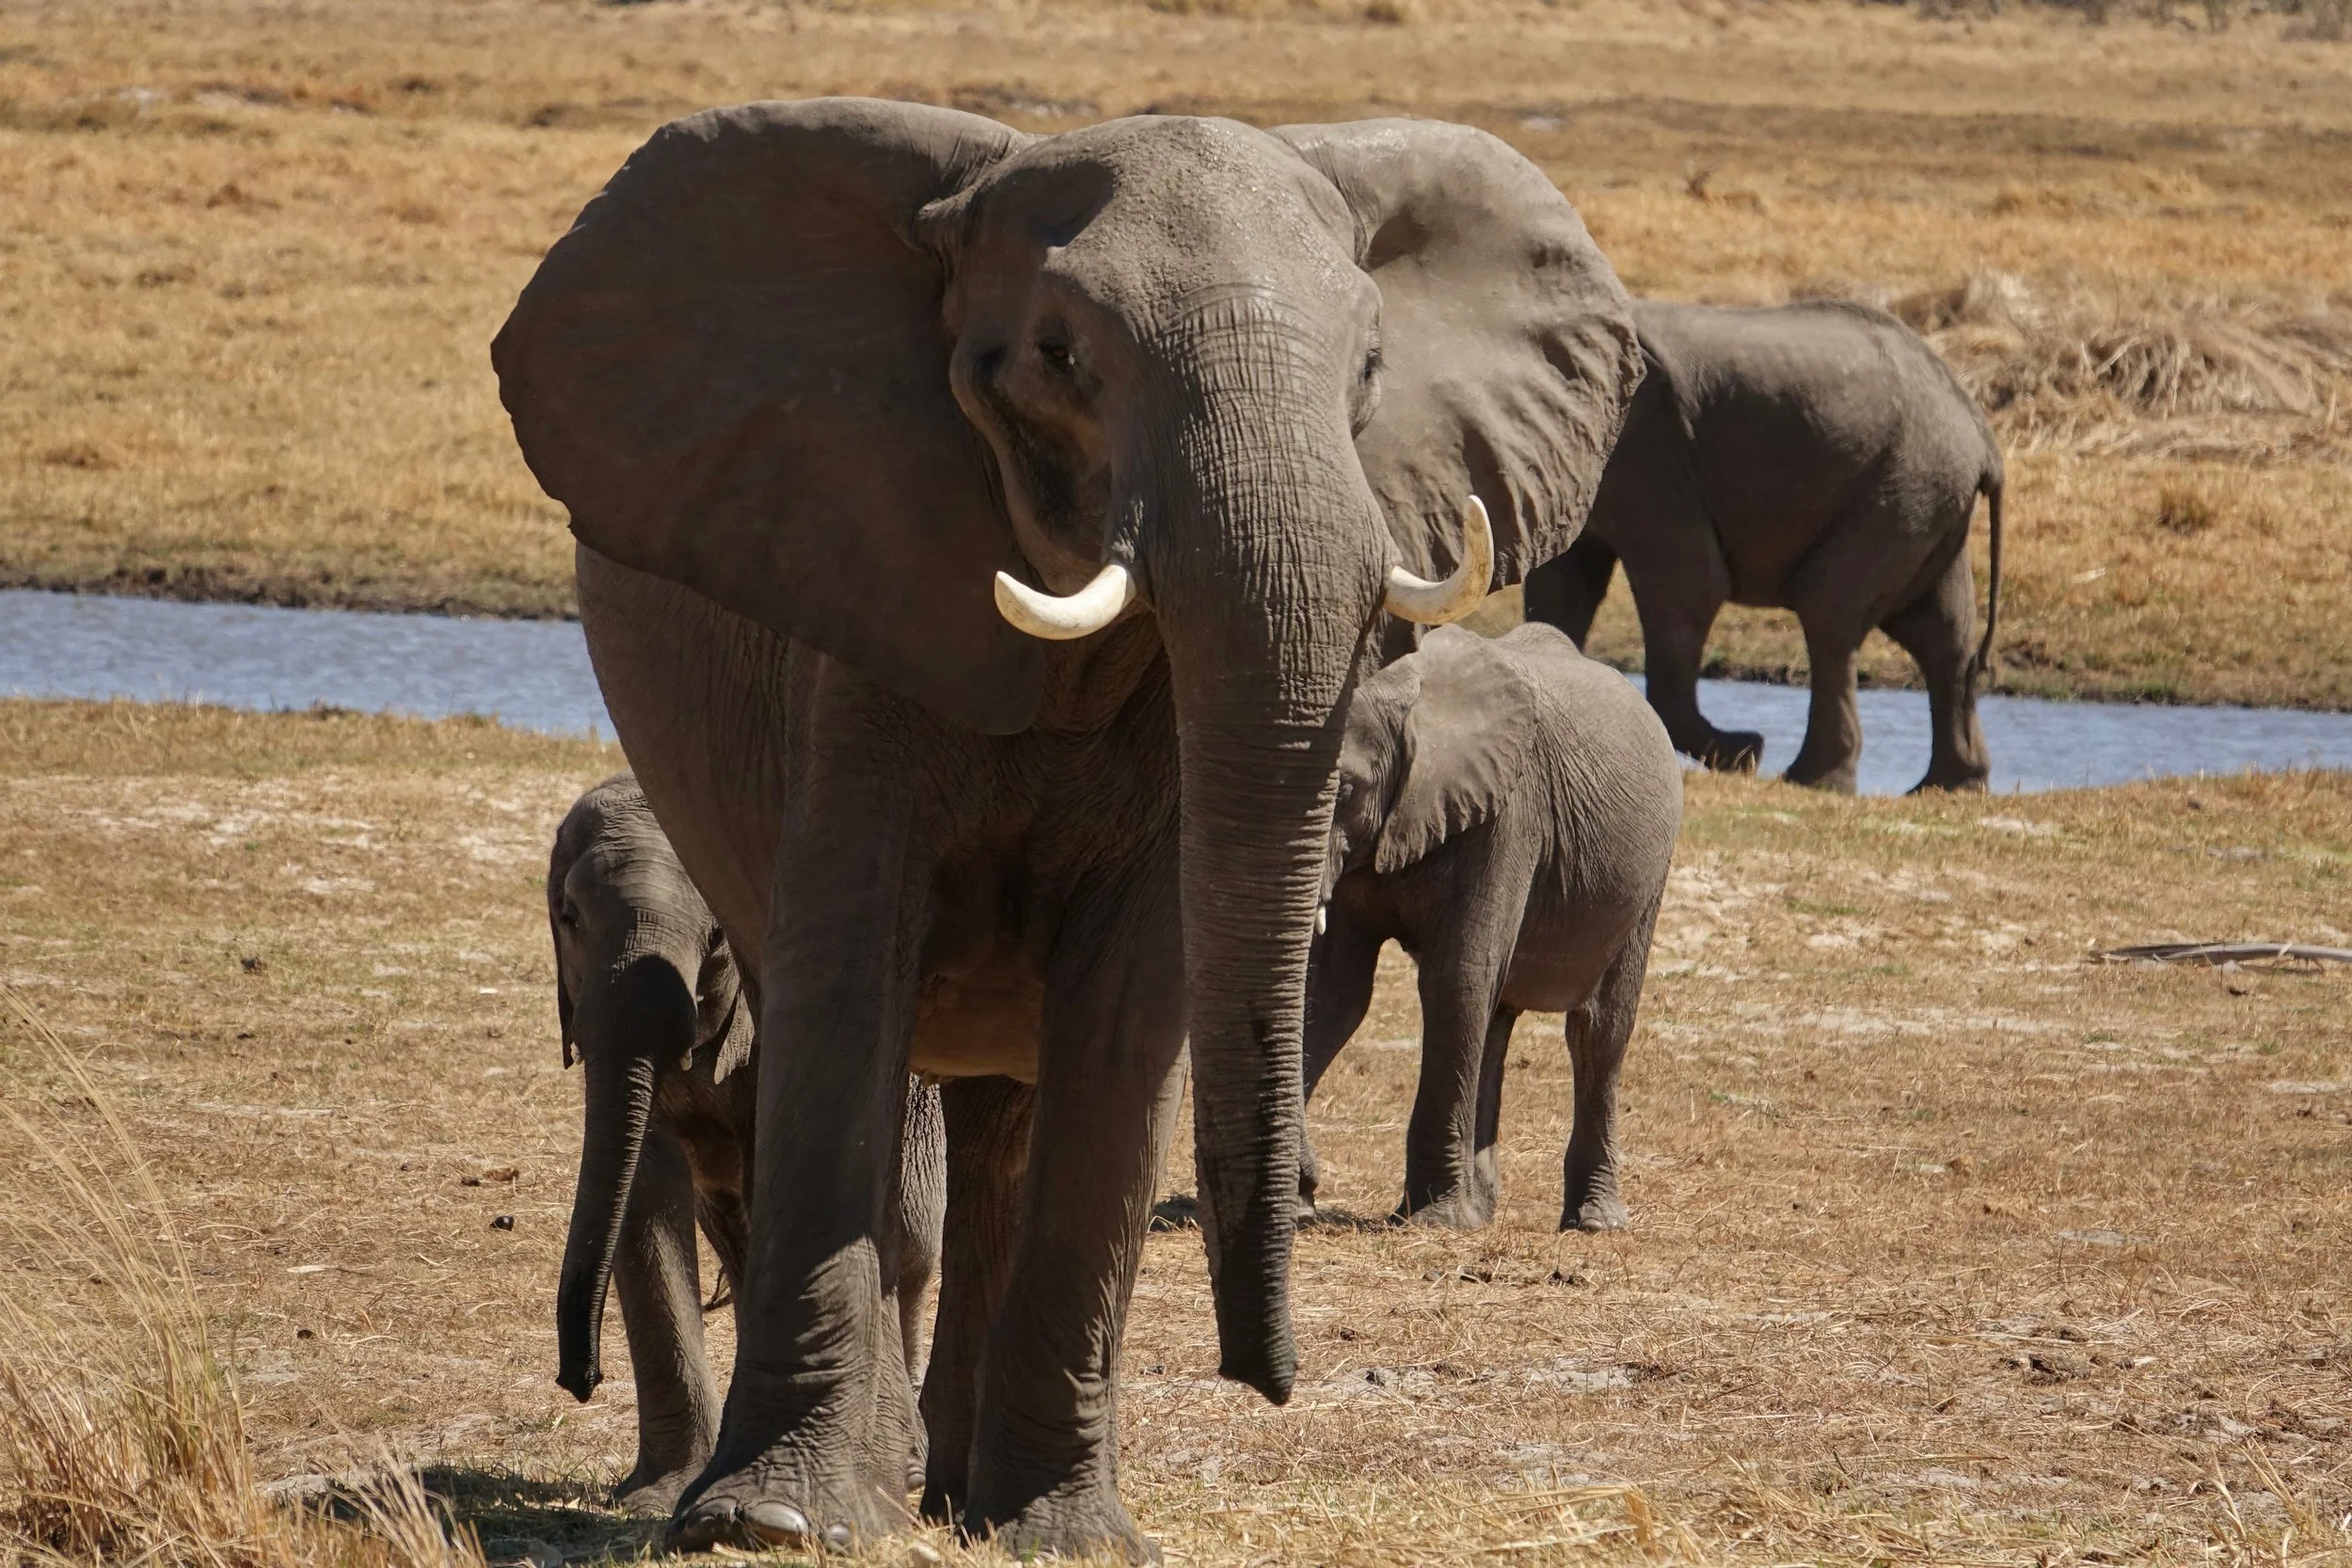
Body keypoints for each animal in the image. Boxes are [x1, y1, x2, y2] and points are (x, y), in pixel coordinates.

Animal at [545, 773, 944, 1515]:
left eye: (716, 938)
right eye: (569, 917)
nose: (581, 1379)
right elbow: (645, 1187)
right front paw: (658, 1496)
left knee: (911, 1242)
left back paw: (905, 1465)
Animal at [1299, 623, 1680, 1233]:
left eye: (1345, 790)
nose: (1312, 1183)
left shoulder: (1509, 813)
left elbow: (1456, 978)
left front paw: (1433, 1224)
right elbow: (1335, 992)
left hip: (1648, 879)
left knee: (1597, 1030)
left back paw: (1594, 1222)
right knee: (1496, 1021)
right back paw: (1481, 1212)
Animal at [1522, 298, 2005, 795]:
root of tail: (1984, 440)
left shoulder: (1648, 452)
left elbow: (1688, 585)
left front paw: (1744, 755)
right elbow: (1563, 588)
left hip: (1903, 492)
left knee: (1830, 612)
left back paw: (1812, 781)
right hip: (1928, 500)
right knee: (1941, 634)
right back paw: (1946, 787)